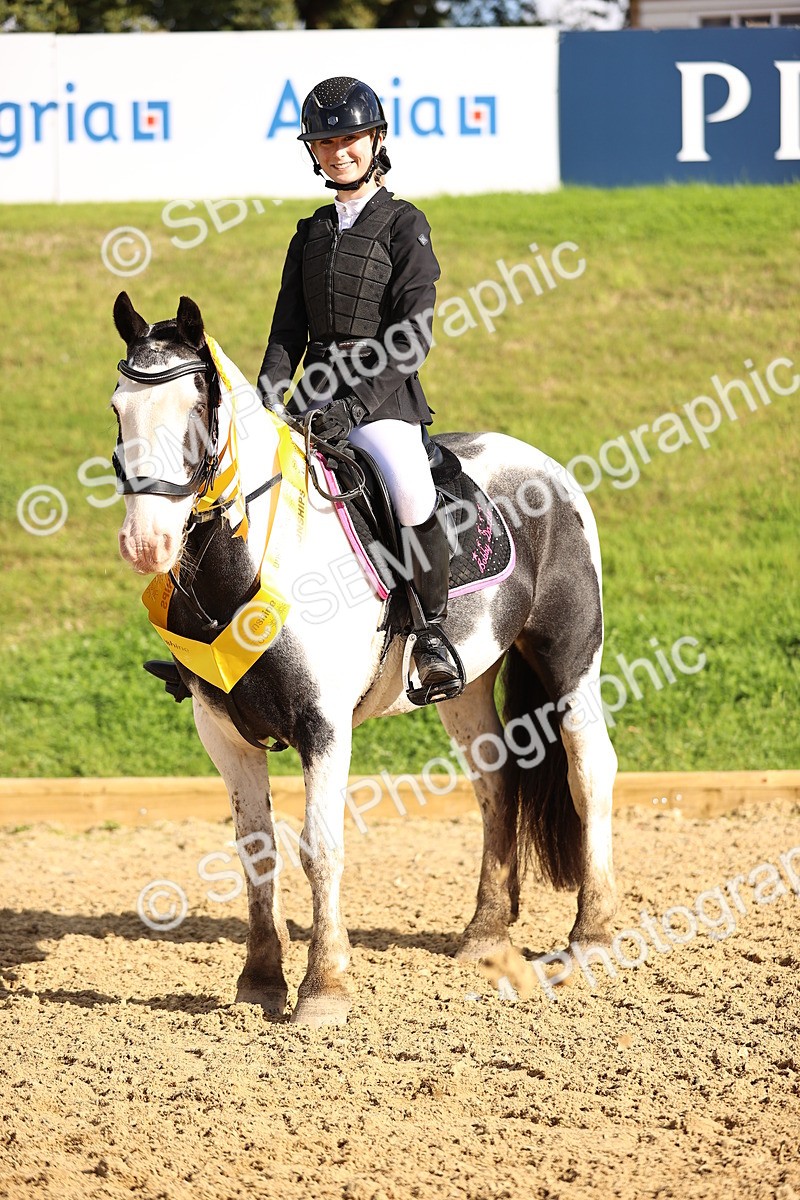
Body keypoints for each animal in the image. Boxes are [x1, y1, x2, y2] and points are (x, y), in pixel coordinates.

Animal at [110, 291, 618, 1026]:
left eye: (196, 407)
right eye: (118, 408)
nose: (145, 543)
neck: (249, 566)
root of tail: (543, 465)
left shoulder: (324, 727)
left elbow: (319, 848)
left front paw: (324, 989)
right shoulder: (224, 733)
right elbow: (255, 851)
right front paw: (260, 982)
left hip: (570, 659)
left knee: (589, 773)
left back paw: (592, 938)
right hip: (467, 684)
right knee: (495, 782)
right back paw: (485, 933)